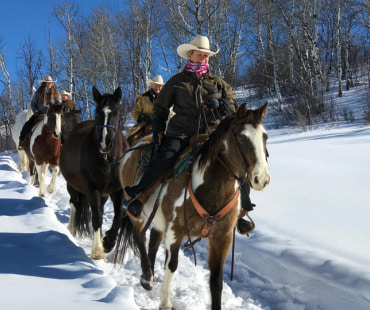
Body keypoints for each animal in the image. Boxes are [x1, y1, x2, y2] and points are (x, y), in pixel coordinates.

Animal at [59, 86, 130, 260]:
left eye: (116, 113)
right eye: (97, 113)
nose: (105, 143)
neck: (108, 160)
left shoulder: (117, 191)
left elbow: (118, 216)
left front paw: (108, 241)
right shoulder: (93, 189)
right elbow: (96, 217)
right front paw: (98, 251)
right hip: (73, 186)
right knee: (75, 203)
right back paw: (71, 230)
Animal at [117, 102, 270, 310]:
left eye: (265, 137)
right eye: (241, 137)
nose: (261, 179)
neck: (211, 190)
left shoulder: (222, 238)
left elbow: (216, 281)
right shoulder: (176, 230)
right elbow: (171, 265)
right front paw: (165, 302)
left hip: (159, 220)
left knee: (153, 243)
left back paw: (150, 276)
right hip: (138, 214)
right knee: (139, 237)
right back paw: (147, 276)